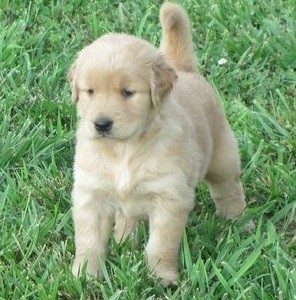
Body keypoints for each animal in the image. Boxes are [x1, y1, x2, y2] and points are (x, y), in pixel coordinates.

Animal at [68, 2, 246, 284]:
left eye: (128, 92)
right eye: (90, 91)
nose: (101, 124)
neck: (124, 148)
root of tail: (184, 70)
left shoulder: (169, 198)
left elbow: (160, 244)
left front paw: (161, 277)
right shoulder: (90, 193)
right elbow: (89, 240)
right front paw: (86, 274)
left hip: (222, 157)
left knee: (228, 187)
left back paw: (234, 219)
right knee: (125, 217)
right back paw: (123, 240)